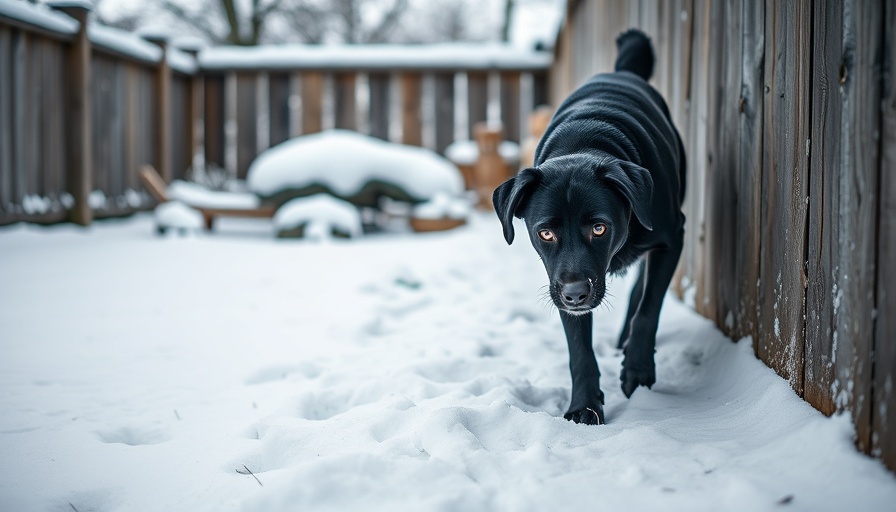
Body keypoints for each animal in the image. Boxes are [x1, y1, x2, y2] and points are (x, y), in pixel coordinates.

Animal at [494, 30, 684, 426]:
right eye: (545, 233)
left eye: (599, 228)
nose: (575, 294)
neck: (585, 144)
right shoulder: (561, 280)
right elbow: (578, 347)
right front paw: (584, 405)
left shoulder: (673, 238)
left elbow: (649, 308)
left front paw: (638, 370)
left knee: (643, 289)